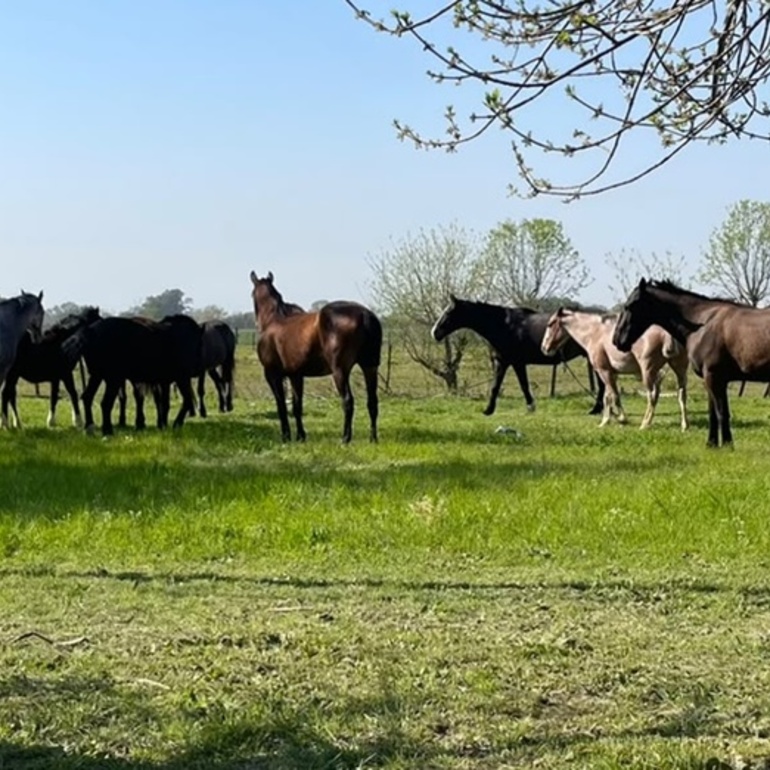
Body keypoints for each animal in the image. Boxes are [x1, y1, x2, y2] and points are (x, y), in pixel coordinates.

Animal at [62, 314, 203, 436]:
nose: (197, 371)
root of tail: (90, 331)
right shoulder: (181, 378)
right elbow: (186, 400)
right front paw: (175, 423)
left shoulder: (164, 381)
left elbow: (164, 403)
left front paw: (162, 425)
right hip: (113, 379)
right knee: (105, 403)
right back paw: (107, 431)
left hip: (97, 376)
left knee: (87, 397)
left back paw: (89, 428)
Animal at [250, 271, 382, 443]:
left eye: (252, 294)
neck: (273, 320)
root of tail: (364, 314)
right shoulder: (295, 376)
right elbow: (296, 406)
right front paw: (300, 436)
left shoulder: (273, 375)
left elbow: (281, 406)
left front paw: (286, 436)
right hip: (370, 367)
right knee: (372, 402)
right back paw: (373, 438)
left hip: (340, 371)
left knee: (348, 401)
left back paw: (345, 438)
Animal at [431, 295, 605, 415]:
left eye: (448, 312)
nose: (434, 332)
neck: (504, 325)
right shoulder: (506, 362)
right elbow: (502, 386)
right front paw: (490, 410)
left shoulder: (513, 362)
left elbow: (516, 385)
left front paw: (528, 407)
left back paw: (595, 409)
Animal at [541, 307, 689, 429]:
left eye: (550, 324)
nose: (544, 348)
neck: (595, 333)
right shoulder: (612, 373)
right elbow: (607, 397)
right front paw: (605, 421)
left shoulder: (604, 372)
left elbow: (615, 395)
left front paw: (622, 418)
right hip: (679, 369)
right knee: (681, 394)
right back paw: (684, 425)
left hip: (648, 372)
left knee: (652, 395)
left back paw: (645, 424)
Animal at [613, 278, 770, 447]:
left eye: (629, 306)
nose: (616, 340)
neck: (703, 323)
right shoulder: (713, 380)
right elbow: (713, 414)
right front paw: (712, 444)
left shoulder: (713, 377)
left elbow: (721, 413)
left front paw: (727, 445)